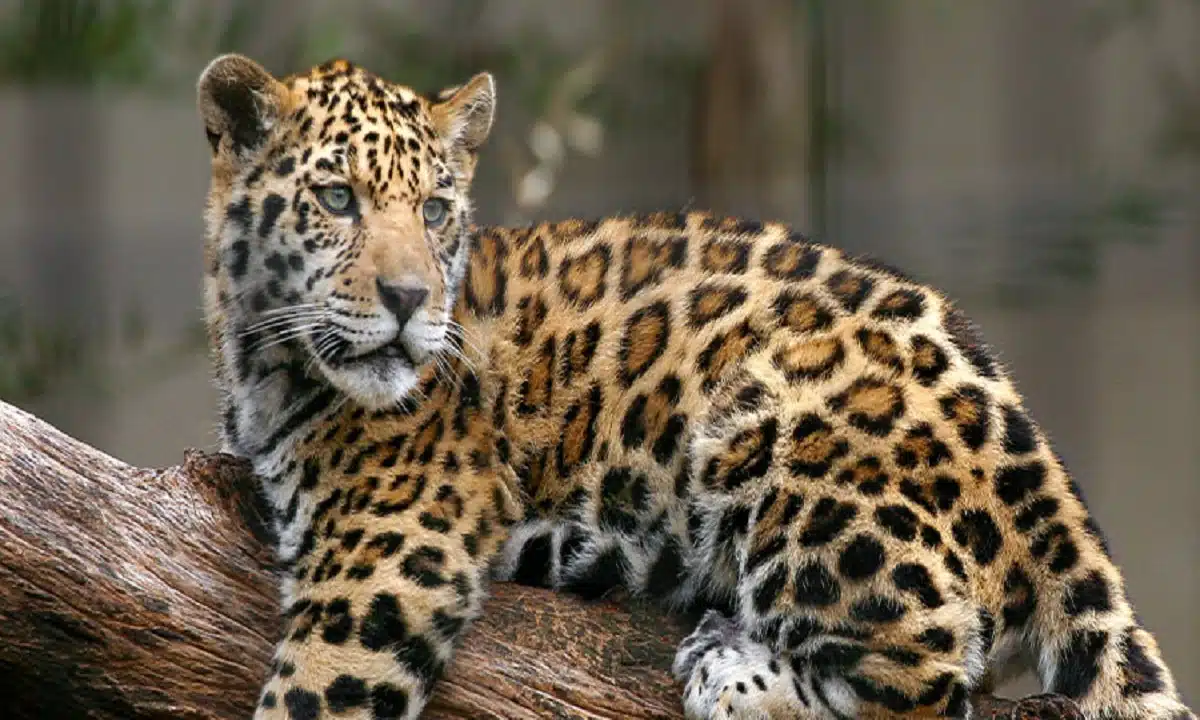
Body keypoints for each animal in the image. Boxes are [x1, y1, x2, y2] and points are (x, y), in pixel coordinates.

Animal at [195, 52, 1195, 720]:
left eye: (436, 212)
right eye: (337, 201)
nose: (409, 301)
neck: (261, 362)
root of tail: (1038, 457)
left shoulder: (394, 550)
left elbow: (310, 693)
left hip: (778, 424)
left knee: (933, 673)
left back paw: (733, 671)